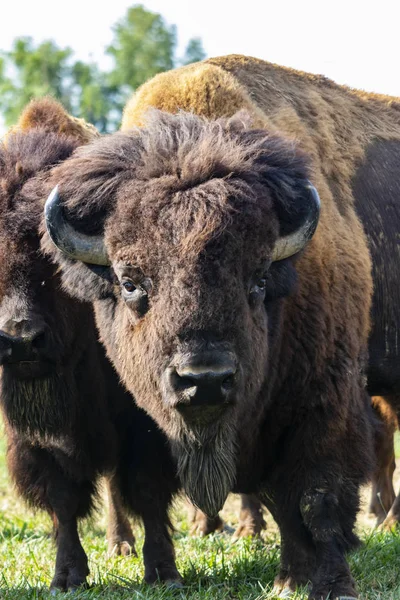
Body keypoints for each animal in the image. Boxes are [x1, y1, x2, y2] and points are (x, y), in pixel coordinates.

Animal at [0, 99, 180, 592]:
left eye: (50, 262)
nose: (21, 341)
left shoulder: (145, 421)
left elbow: (147, 489)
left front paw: (164, 572)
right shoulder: (36, 438)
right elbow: (63, 500)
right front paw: (67, 576)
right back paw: (118, 545)